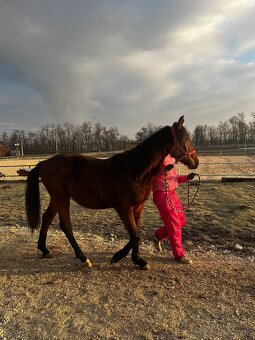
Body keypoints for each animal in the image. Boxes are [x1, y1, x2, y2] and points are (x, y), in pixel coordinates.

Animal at [25, 115, 199, 270]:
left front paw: (138, 261)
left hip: (57, 198)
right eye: (186, 138)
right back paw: (83, 258)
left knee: (47, 218)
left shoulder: (138, 207)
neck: (134, 172)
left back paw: (45, 250)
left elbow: (136, 232)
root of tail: (44, 163)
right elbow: (135, 235)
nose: (196, 162)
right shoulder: (123, 208)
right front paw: (117, 257)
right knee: (66, 226)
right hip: (62, 199)